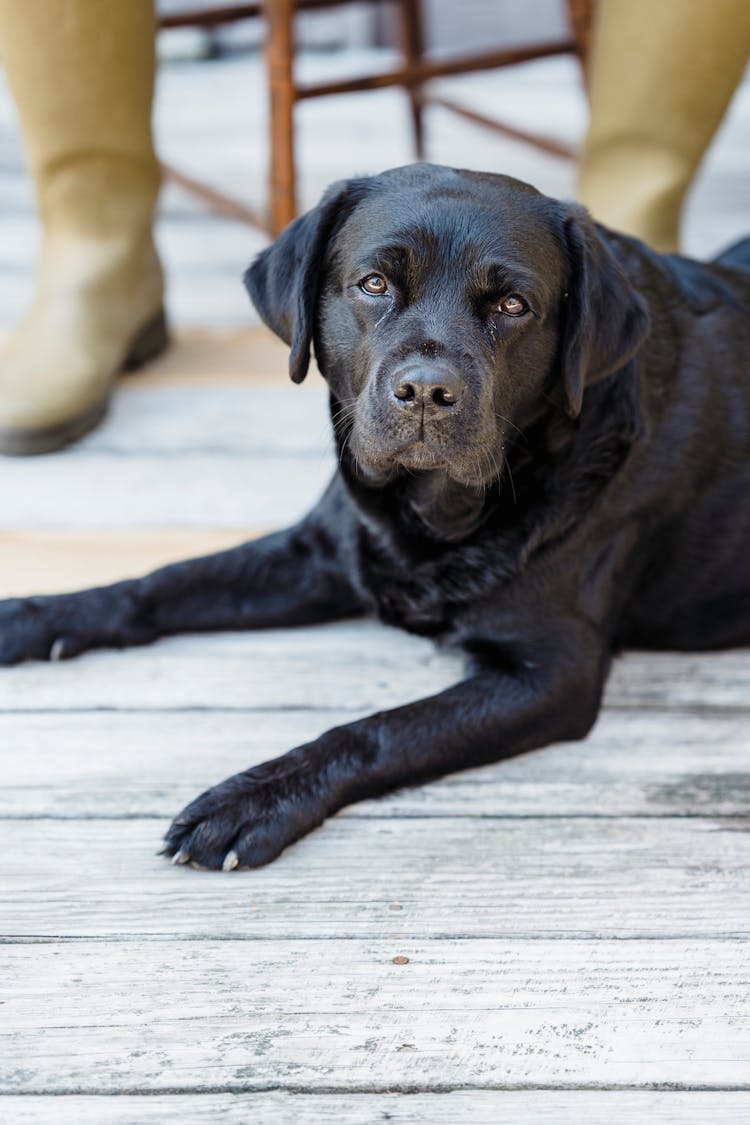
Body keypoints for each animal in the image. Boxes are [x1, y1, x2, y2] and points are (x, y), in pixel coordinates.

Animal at [1, 164, 750, 868]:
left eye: (513, 304)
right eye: (374, 284)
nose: (425, 391)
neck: (429, 510)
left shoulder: (550, 673)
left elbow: (377, 729)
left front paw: (255, 797)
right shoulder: (322, 551)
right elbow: (162, 581)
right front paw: (39, 614)